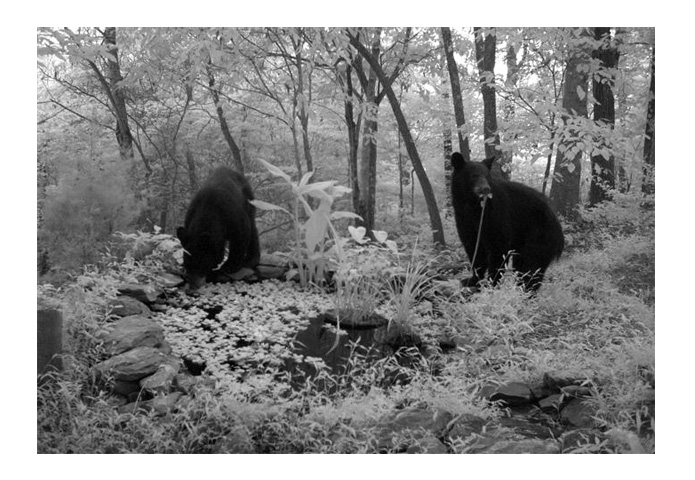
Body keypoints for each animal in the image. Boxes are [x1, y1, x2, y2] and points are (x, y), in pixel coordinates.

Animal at [452, 152, 564, 292]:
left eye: (487, 176)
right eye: (474, 175)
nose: (485, 188)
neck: (474, 206)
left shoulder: (497, 216)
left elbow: (498, 247)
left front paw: (491, 283)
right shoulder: (464, 220)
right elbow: (474, 250)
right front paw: (472, 279)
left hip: (539, 236)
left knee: (531, 267)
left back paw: (526, 291)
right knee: (522, 266)